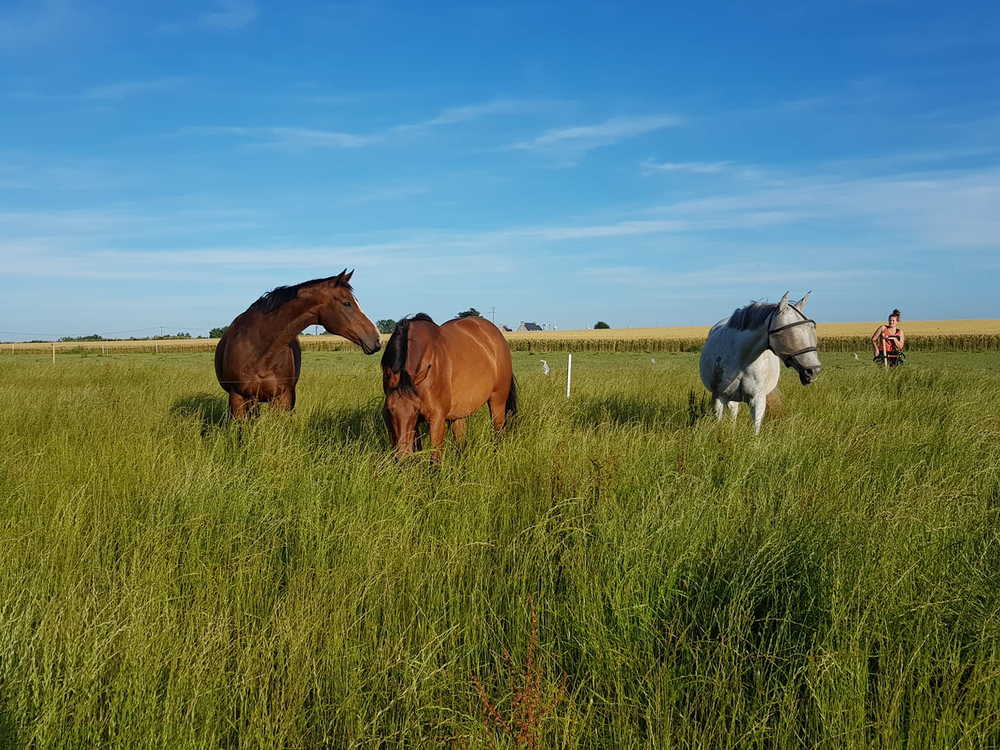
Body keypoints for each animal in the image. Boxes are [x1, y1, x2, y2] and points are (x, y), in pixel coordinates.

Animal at [382, 314, 520, 462]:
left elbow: (435, 459)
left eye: (414, 411)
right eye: (390, 410)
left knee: (497, 433)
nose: (402, 456)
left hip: (497, 401)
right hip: (459, 413)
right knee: (461, 442)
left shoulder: (436, 418)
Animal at [700, 294, 824, 434]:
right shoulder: (718, 397)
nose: (814, 370)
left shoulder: (757, 399)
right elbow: (719, 422)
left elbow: (756, 428)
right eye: (790, 331)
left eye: (811, 328)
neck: (743, 359)